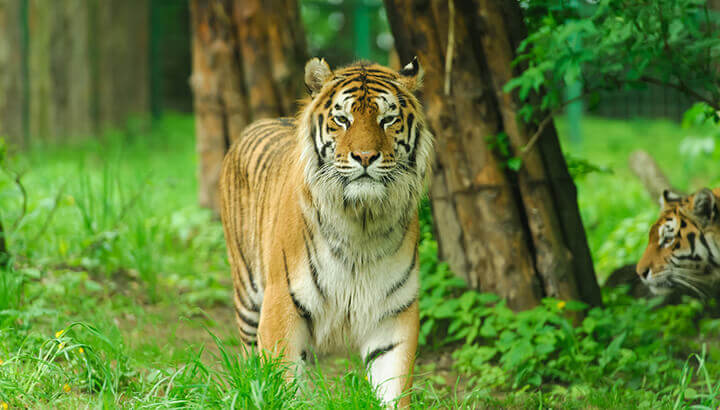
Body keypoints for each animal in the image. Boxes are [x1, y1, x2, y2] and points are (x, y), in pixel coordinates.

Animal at [218, 57, 433, 407]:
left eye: (388, 119)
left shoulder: (393, 313)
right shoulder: (282, 305)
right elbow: (283, 383)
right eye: (342, 119)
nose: (365, 157)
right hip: (248, 298)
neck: (361, 220)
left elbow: (394, 387)